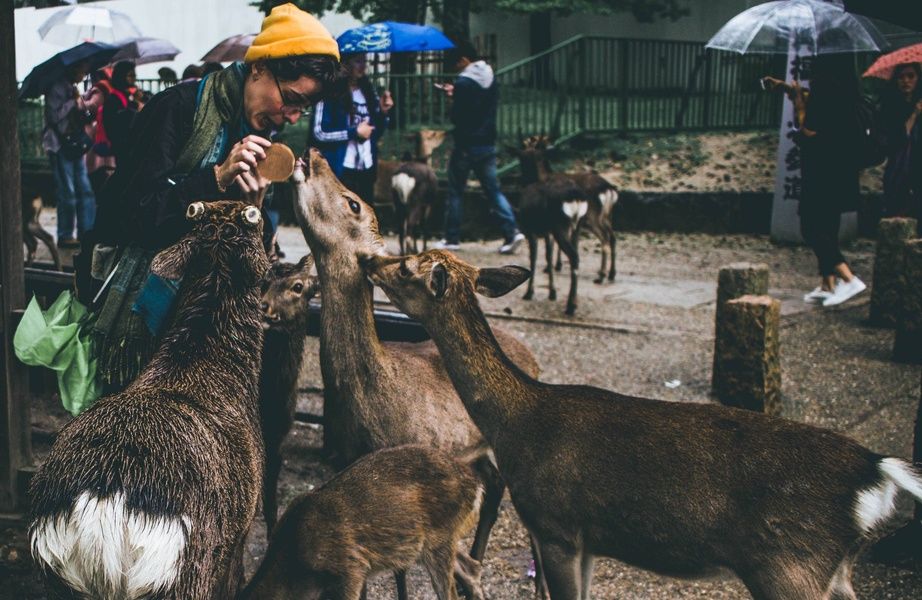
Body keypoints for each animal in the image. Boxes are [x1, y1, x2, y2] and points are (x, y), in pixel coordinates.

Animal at [243, 446, 488, 600]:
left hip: (440, 536)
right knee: (471, 567)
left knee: (451, 593)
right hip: (439, 539)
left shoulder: (350, 567)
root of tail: (476, 485)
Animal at [364, 248, 920, 600]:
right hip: (834, 571)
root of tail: (877, 472)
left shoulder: (556, 525)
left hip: (789, 566)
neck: (516, 424)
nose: (370, 260)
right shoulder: (586, 540)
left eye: (409, 263)